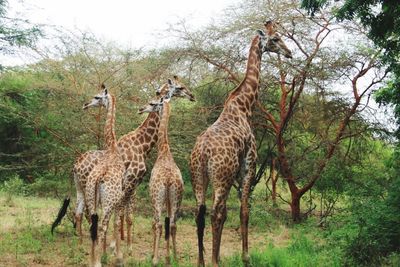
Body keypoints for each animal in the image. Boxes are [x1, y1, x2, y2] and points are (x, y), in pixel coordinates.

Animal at [139, 95, 184, 266]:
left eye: (152, 103)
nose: (141, 109)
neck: (163, 148)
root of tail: (169, 180)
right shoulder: (170, 201)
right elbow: (168, 223)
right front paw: (168, 256)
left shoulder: (154, 198)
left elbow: (154, 223)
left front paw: (154, 254)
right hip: (177, 198)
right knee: (172, 224)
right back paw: (175, 258)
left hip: (156, 197)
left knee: (158, 223)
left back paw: (156, 259)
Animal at [189, 21, 292, 267]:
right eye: (275, 39)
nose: (289, 52)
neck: (244, 106)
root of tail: (203, 152)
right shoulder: (248, 166)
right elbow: (245, 210)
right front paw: (246, 257)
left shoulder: (236, 173)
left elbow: (230, 212)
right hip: (221, 177)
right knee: (215, 213)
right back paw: (214, 262)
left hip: (199, 177)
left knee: (201, 213)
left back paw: (203, 261)